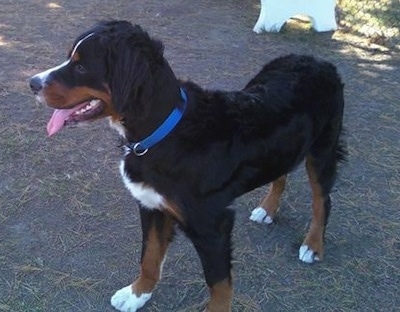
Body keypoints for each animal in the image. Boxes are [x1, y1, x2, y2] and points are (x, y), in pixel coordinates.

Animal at [29, 20, 346, 312]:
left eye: (82, 67)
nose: (32, 83)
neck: (162, 131)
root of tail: (318, 61)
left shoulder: (212, 224)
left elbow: (218, 284)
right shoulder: (152, 206)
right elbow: (149, 257)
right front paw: (137, 294)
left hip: (322, 150)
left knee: (322, 200)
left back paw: (313, 245)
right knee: (281, 174)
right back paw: (267, 209)